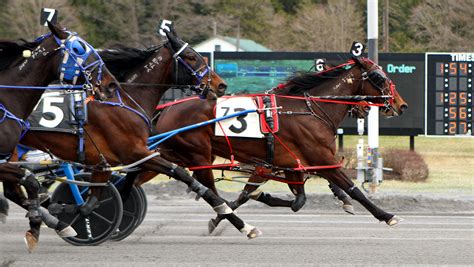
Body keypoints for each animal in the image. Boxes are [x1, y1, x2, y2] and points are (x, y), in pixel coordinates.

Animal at [0, 22, 118, 251]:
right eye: (79, 48)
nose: (110, 84)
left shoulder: (5, 158)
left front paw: (51, 221)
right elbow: (31, 181)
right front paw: (37, 221)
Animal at [18, 28, 262, 242]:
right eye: (191, 57)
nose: (221, 85)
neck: (126, 100)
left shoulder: (113, 160)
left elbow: (98, 198)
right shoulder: (134, 153)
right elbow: (183, 176)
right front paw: (241, 223)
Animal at [147, 56, 408, 230]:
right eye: (379, 77)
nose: (401, 104)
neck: (310, 110)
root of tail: (166, 109)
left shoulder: (289, 163)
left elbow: (295, 199)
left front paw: (260, 197)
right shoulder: (319, 157)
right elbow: (353, 189)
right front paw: (386, 215)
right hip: (195, 154)